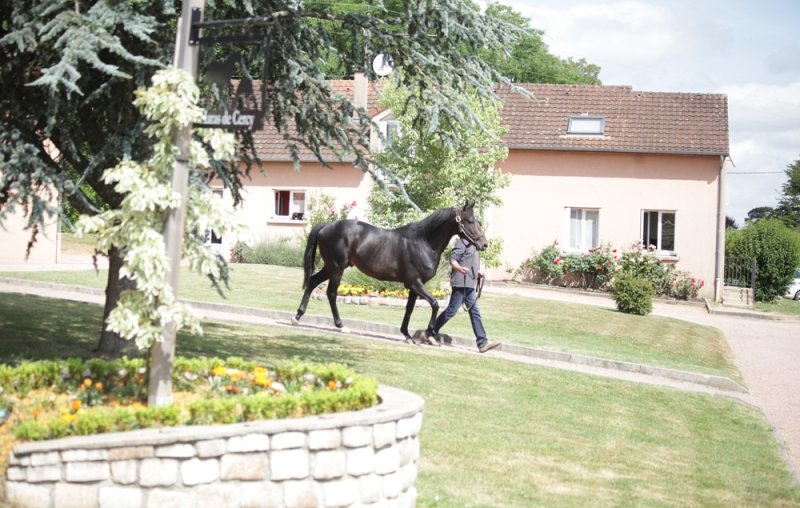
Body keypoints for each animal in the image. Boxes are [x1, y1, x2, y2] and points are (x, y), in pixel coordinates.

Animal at [292, 203, 488, 343]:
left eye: (478, 221)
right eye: (470, 221)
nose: (484, 244)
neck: (422, 242)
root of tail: (326, 226)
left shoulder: (414, 286)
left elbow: (409, 309)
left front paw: (407, 335)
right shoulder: (415, 282)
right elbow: (434, 304)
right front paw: (429, 334)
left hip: (331, 267)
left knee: (312, 282)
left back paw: (298, 317)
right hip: (336, 268)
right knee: (331, 293)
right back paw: (340, 325)